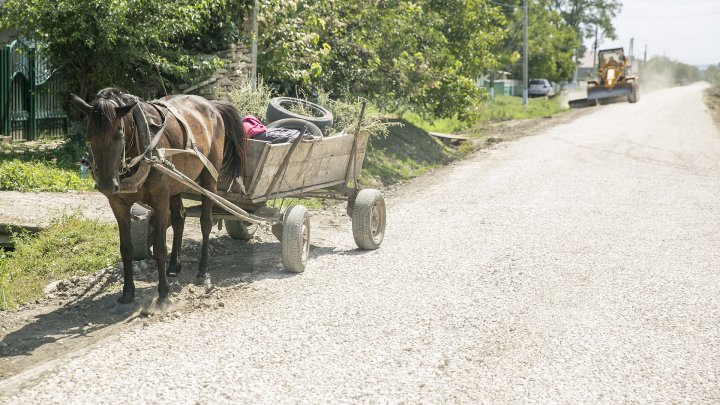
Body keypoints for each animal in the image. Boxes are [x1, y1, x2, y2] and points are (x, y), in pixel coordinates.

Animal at [72, 87, 248, 310]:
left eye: (119, 134)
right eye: (90, 136)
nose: (106, 185)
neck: (141, 149)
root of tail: (211, 105)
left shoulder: (160, 200)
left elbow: (159, 247)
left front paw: (164, 295)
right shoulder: (118, 204)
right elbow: (126, 248)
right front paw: (127, 293)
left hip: (209, 179)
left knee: (205, 223)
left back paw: (202, 271)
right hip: (177, 182)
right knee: (180, 218)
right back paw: (173, 265)